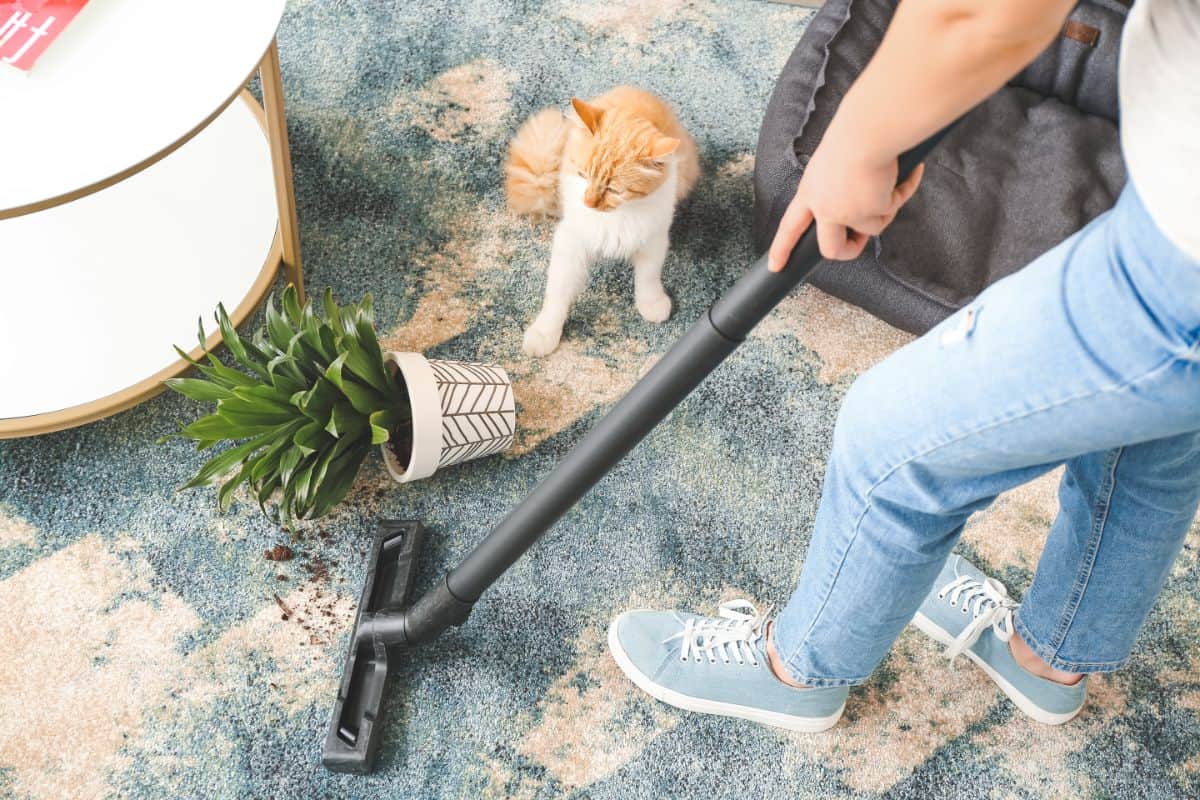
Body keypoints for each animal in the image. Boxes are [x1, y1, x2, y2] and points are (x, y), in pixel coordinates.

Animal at [501, 85, 700, 357]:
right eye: (583, 175)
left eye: (614, 190)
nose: (588, 202)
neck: (617, 217)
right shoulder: (570, 242)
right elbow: (557, 292)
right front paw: (545, 332)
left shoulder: (654, 239)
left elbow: (648, 277)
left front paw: (651, 303)